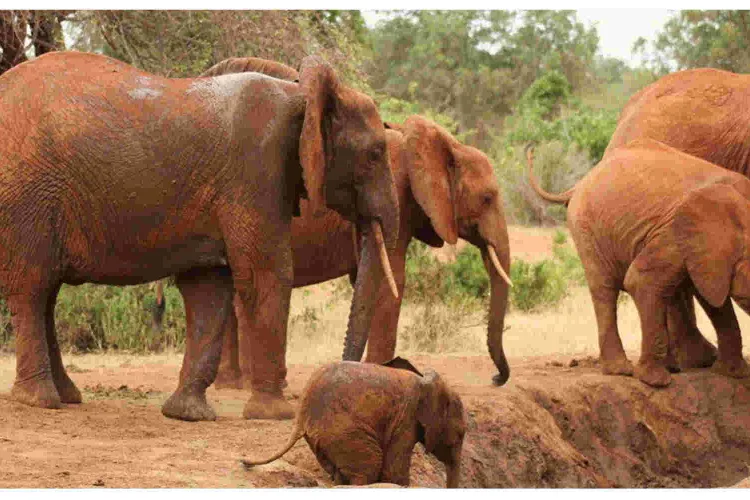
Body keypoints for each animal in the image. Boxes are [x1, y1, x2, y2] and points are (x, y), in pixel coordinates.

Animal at [0, 51, 400, 422]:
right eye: (375, 153)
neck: (301, 95)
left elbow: (208, 287)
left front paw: (187, 414)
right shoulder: (256, 169)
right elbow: (266, 274)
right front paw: (273, 415)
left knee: (46, 292)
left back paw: (67, 396)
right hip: (27, 195)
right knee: (33, 286)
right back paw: (40, 401)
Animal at [178, 57, 512, 390]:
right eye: (487, 198)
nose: (496, 378)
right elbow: (392, 283)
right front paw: (385, 370)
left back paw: (231, 384)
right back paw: (245, 384)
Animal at [240, 358, 466, 488]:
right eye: (461, 434)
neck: (427, 382)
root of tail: (300, 415)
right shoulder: (406, 419)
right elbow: (394, 471)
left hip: (321, 438)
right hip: (342, 430)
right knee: (368, 465)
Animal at [529, 138, 750, 387]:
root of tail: (578, 184)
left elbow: (713, 298)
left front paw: (734, 373)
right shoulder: (673, 234)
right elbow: (640, 280)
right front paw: (656, 382)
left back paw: (671, 367)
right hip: (586, 228)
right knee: (604, 289)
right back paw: (622, 370)